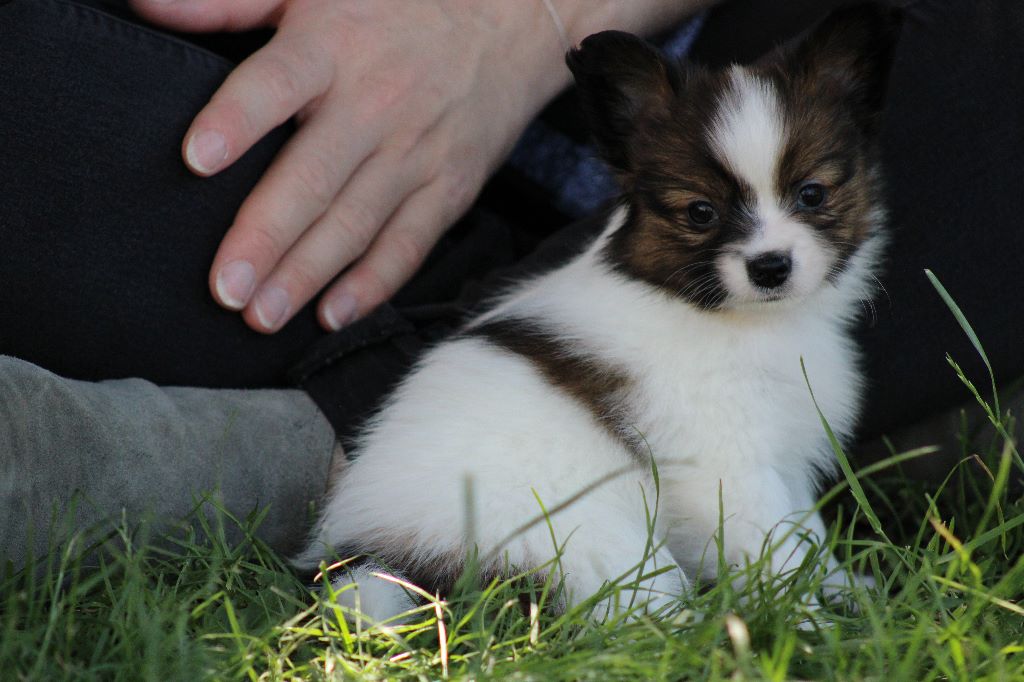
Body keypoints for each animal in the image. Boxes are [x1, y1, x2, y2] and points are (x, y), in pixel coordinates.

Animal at [296, 2, 905, 618]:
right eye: (701, 212)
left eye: (813, 194)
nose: (771, 266)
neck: (744, 319)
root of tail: (384, 555)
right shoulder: (726, 466)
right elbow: (775, 551)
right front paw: (807, 626)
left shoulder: (785, 450)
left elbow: (808, 536)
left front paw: (849, 594)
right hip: (593, 539)